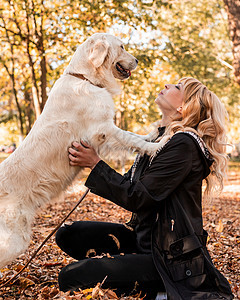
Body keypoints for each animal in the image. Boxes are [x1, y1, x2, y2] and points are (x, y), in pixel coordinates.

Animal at [0, 33, 169, 270]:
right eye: (122, 47)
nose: (137, 60)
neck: (84, 78)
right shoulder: (104, 128)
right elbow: (129, 137)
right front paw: (156, 145)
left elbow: (132, 136)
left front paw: (151, 135)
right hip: (14, 239)